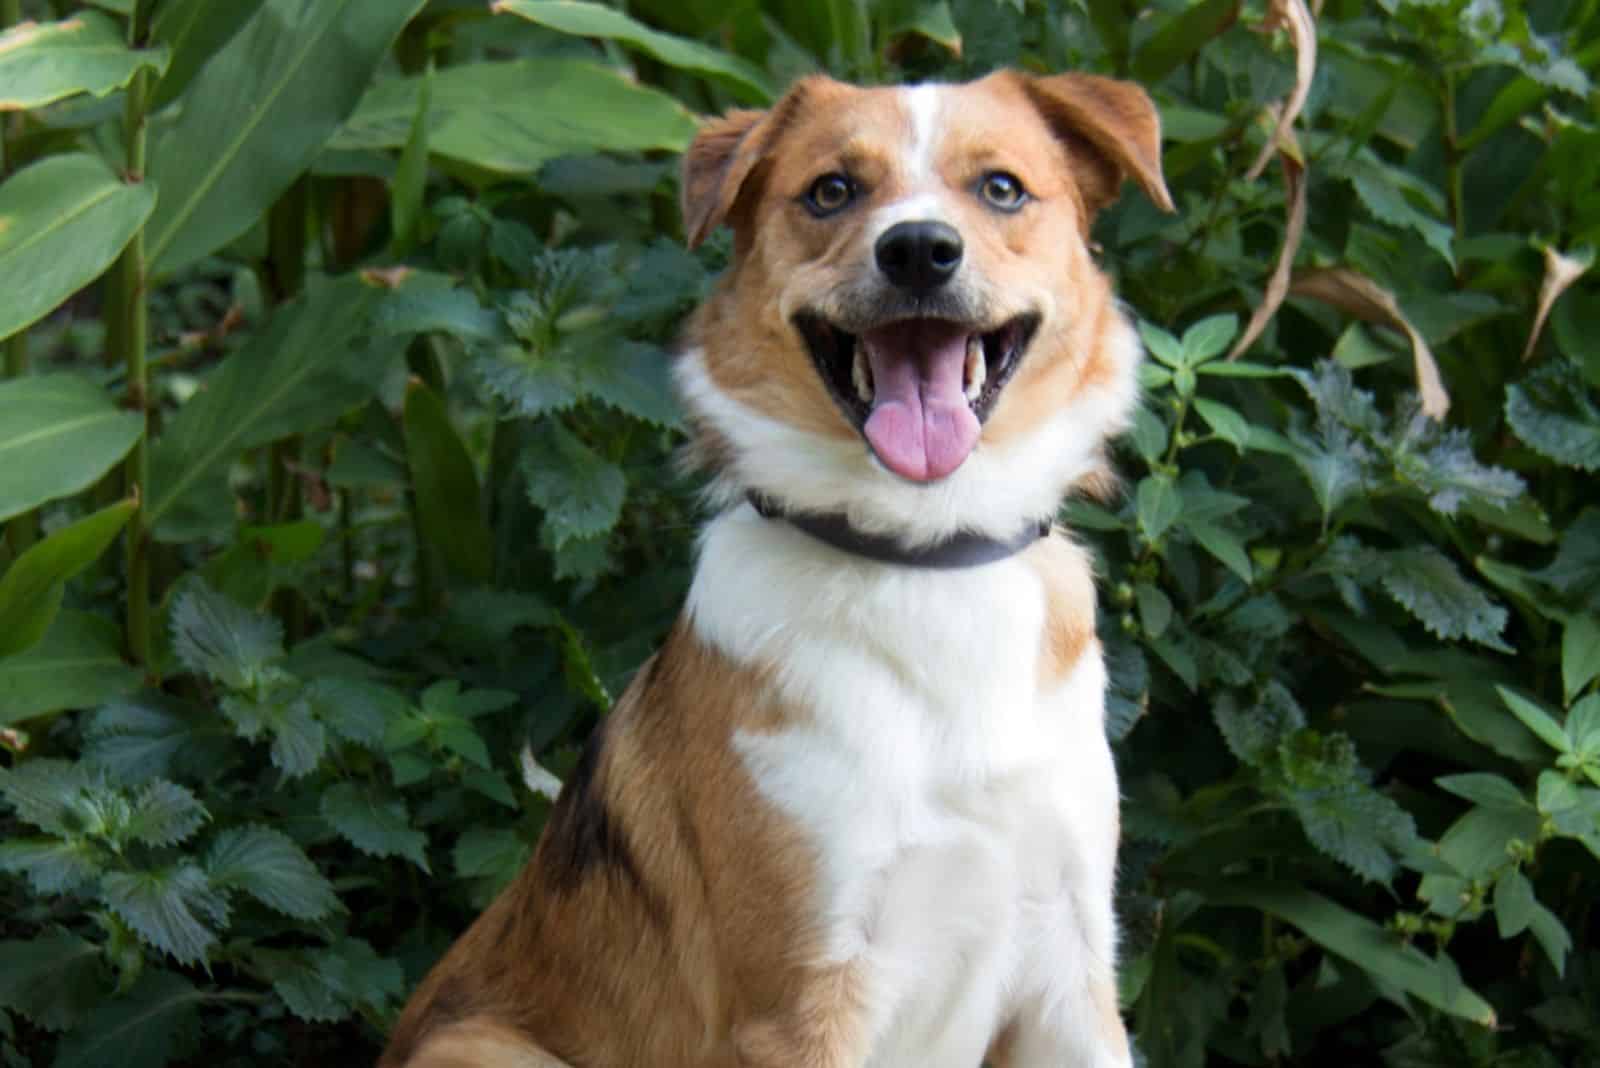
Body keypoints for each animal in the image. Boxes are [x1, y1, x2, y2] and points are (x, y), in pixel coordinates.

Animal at [380, 68, 1171, 1068]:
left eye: (1001, 188)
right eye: (831, 191)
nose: (919, 251)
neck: (926, 561)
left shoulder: (1070, 975)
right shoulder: (800, 1003)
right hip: (479, 1046)